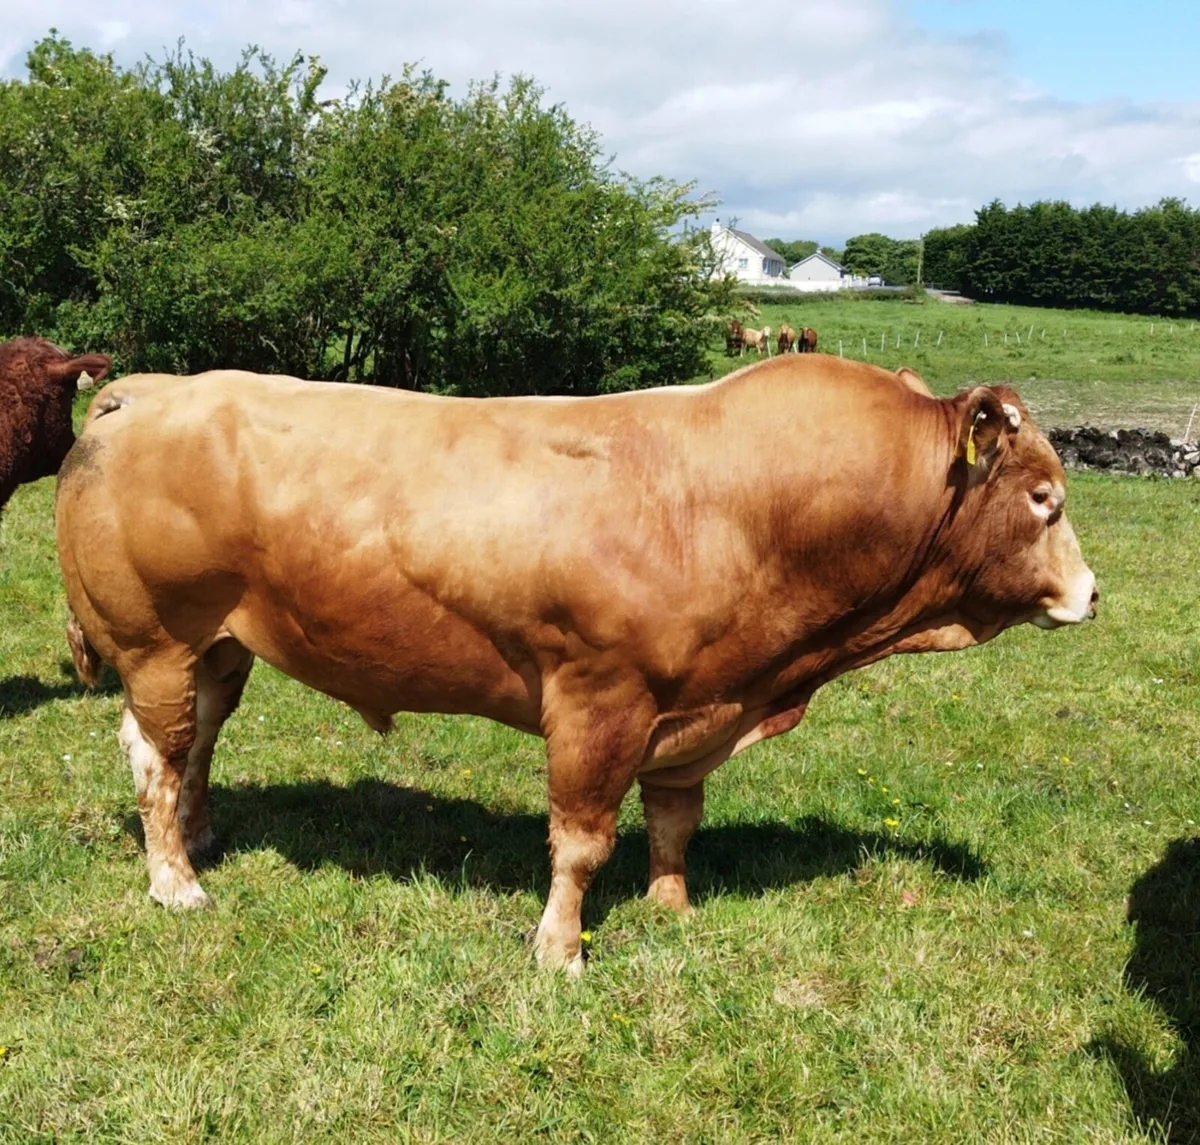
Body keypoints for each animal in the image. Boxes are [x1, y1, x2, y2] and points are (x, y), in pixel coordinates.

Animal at [56, 354, 1096, 976]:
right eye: (1043, 497)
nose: (1092, 593)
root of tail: (154, 385)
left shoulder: (695, 707)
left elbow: (675, 819)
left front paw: (672, 905)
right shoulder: (601, 700)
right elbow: (583, 839)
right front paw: (560, 949)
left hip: (221, 645)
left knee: (197, 745)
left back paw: (201, 837)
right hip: (155, 642)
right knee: (153, 756)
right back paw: (176, 881)